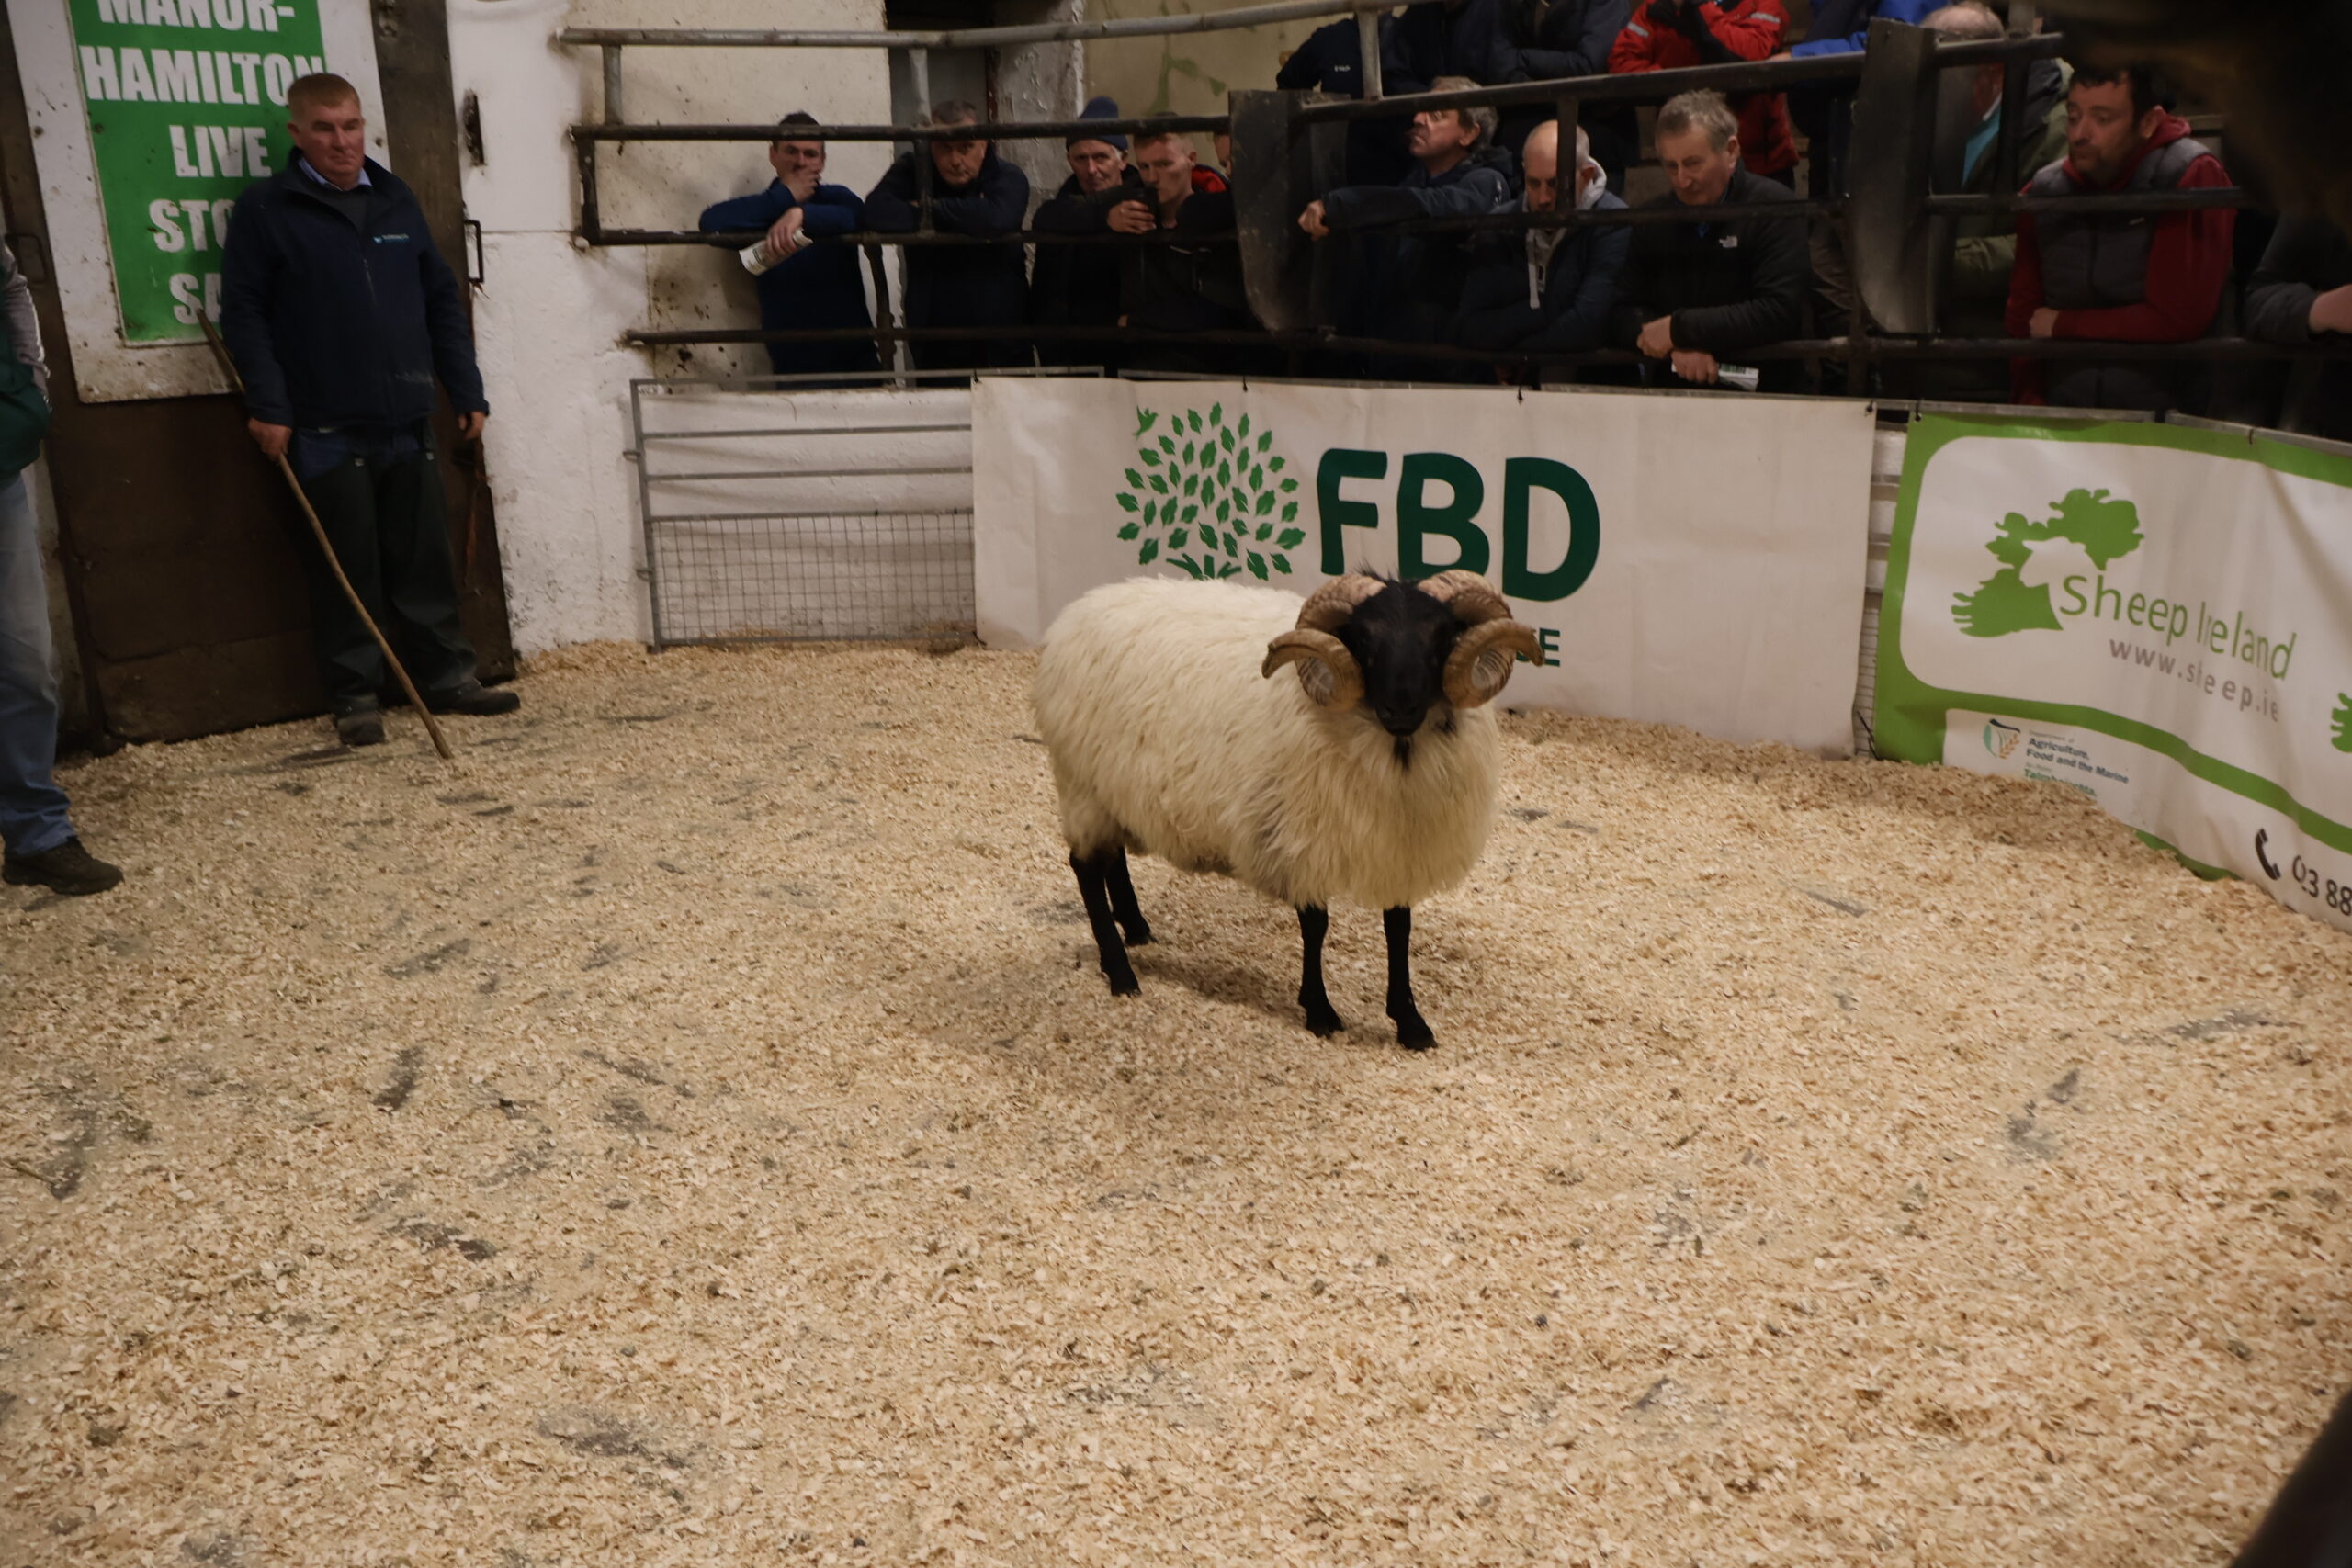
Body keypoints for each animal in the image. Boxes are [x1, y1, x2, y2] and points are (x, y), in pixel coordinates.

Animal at [1031, 568, 1543, 1049]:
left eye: (1441, 636)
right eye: (1363, 640)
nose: (1401, 709)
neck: (1395, 750)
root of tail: (1073, 615)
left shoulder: (1396, 846)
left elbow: (1399, 929)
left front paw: (1410, 1023)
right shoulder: (1301, 835)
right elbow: (1315, 926)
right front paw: (1319, 1011)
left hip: (1111, 787)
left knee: (1112, 859)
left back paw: (1136, 928)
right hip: (1081, 784)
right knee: (1086, 868)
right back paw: (1120, 971)